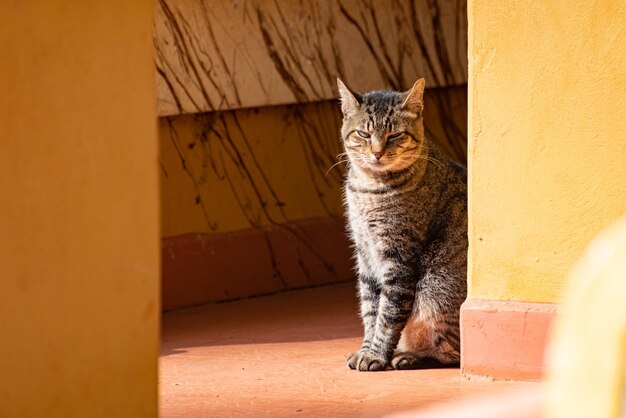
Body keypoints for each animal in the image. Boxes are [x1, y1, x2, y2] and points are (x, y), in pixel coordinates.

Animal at [336, 78, 464, 372]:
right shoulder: (365, 254)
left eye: (394, 135)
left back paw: (410, 356)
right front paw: (365, 349)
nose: (377, 153)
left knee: (453, 353)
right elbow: (370, 310)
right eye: (363, 134)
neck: (369, 187)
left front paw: (375, 355)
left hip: (436, 291)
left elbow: (388, 314)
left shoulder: (398, 255)